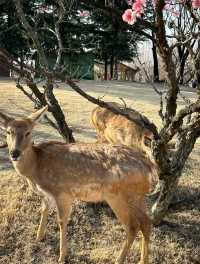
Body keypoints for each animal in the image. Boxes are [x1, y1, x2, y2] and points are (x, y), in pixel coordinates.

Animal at [0, 105, 157, 264]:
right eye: (8, 131)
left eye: (28, 132)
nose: (14, 153)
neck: (36, 168)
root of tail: (150, 167)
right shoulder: (47, 195)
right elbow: (44, 210)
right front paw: (39, 238)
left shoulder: (62, 192)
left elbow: (62, 221)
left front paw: (62, 257)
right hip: (138, 196)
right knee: (146, 222)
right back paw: (143, 260)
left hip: (118, 196)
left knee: (132, 226)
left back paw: (119, 260)